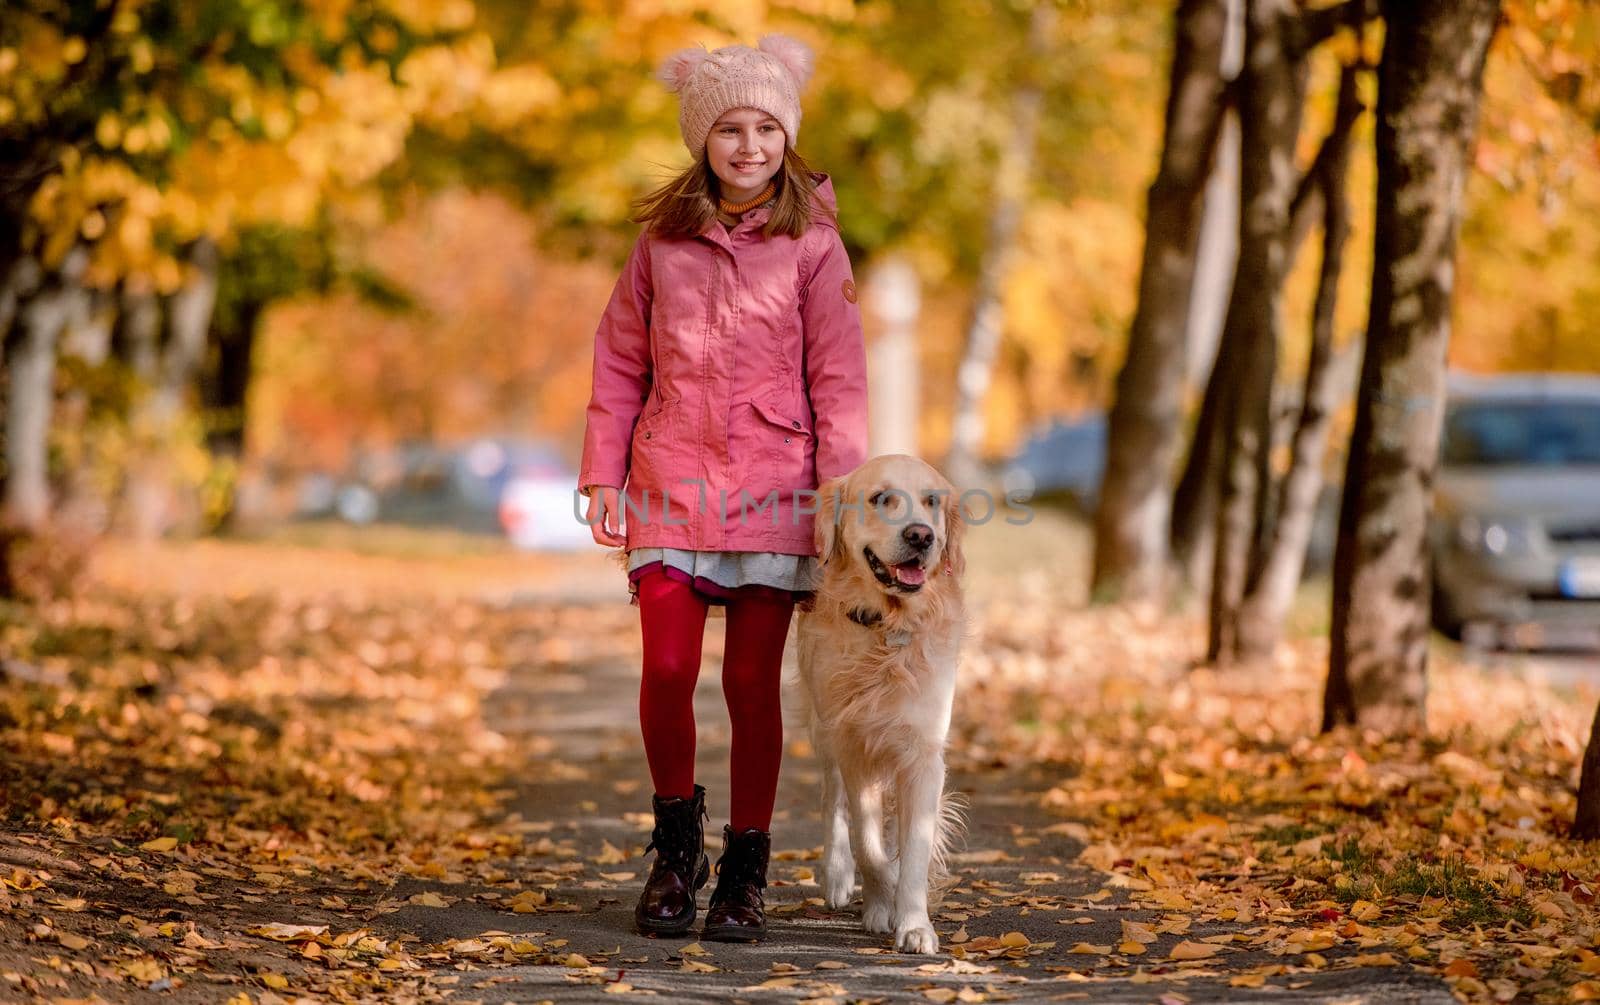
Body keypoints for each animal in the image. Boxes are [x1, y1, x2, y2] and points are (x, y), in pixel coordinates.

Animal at [784, 454, 966, 947]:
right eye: (881, 498)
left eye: (931, 501)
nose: (921, 536)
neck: (887, 629)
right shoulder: (854, 744)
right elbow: (868, 843)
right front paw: (881, 902)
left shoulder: (923, 752)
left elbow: (915, 846)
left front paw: (914, 923)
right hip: (823, 726)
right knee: (833, 799)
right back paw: (838, 875)